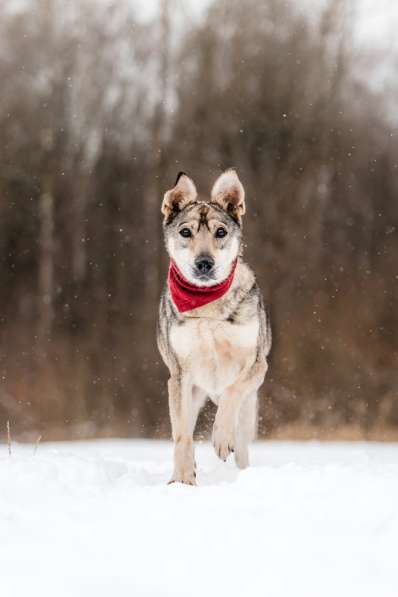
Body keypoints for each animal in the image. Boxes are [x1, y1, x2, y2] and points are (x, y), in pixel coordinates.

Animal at [157, 169, 272, 484]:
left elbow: (233, 390)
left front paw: (221, 437)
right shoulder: (179, 375)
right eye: (186, 232)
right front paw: (183, 481)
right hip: (191, 393)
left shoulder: (257, 365)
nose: (204, 263)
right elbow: (182, 436)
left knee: (242, 444)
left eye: (220, 232)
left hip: (248, 409)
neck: (208, 310)